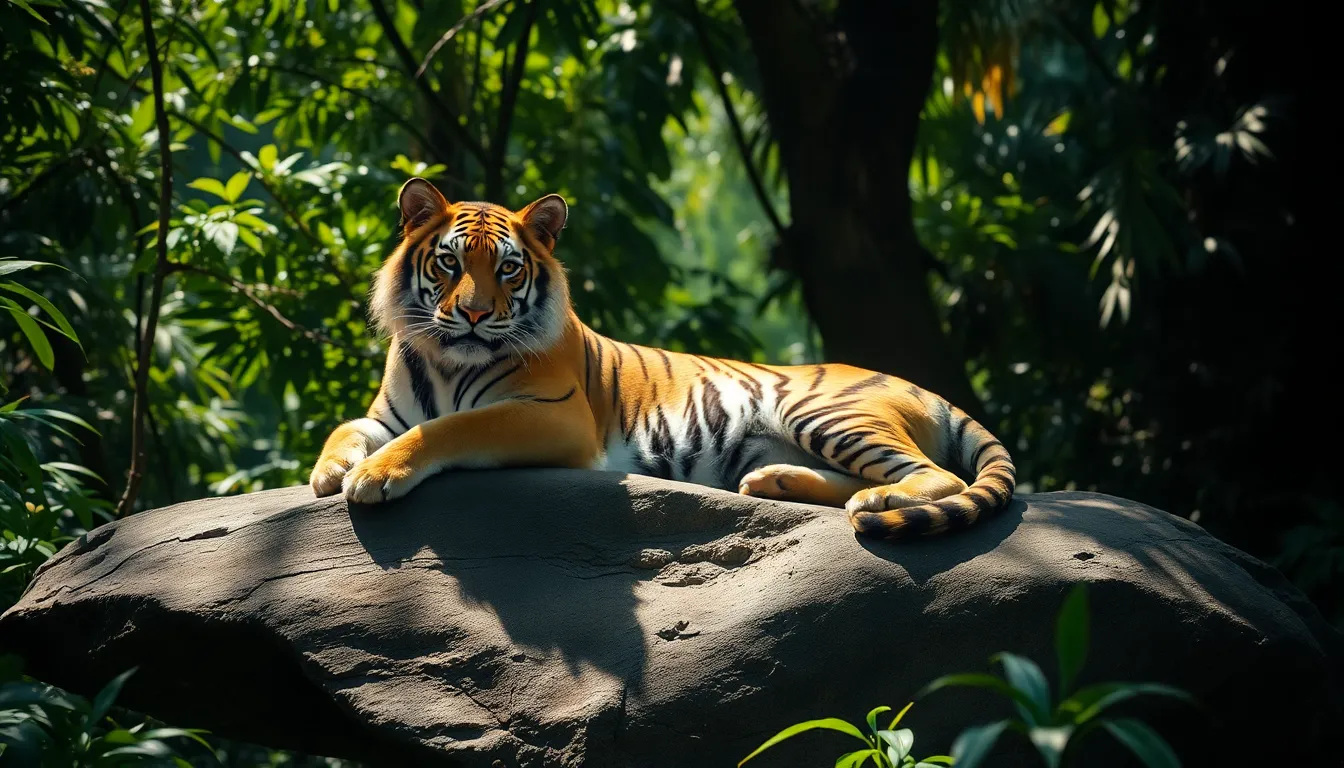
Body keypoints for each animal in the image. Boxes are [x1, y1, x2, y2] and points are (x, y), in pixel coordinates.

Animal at [308, 177, 1015, 539]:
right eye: (451, 263)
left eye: (508, 269)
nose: (477, 314)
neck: (446, 358)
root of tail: (921, 386)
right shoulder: (387, 412)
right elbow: (348, 427)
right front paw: (330, 470)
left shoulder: (554, 416)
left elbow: (450, 428)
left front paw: (373, 475)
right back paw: (775, 485)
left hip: (820, 411)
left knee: (937, 477)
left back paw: (873, 502)